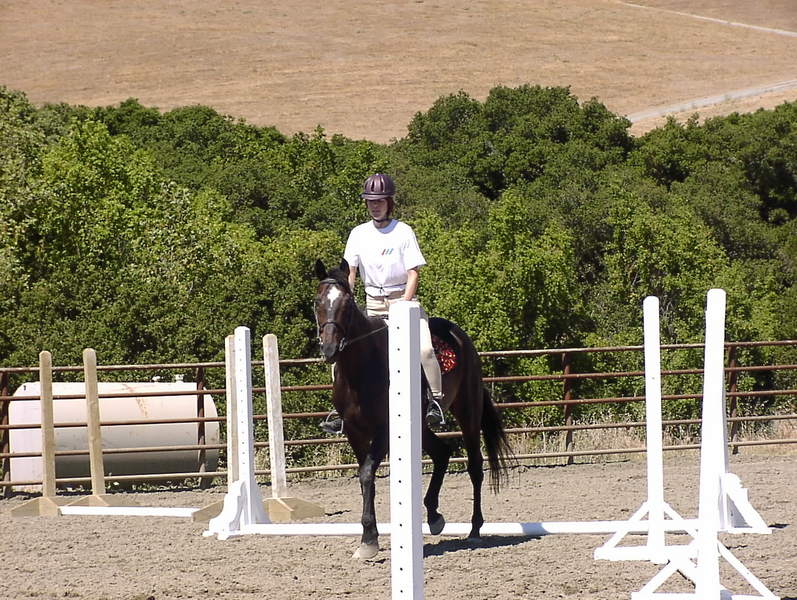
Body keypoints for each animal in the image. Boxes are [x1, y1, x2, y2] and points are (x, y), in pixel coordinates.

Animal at [313, 258, 513, 559]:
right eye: (317, 302)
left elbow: (367, 472)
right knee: (442, 452)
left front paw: (369, 539)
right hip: (418, 424)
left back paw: (475, 529)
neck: (361, 370)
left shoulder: (384, 430)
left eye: (346, 304)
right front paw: (369, 539)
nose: (329, 349)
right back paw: (434, 515)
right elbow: (364, 476)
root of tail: (460, 336)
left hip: (467, 411)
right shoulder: (355, 432)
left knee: (475, 466)